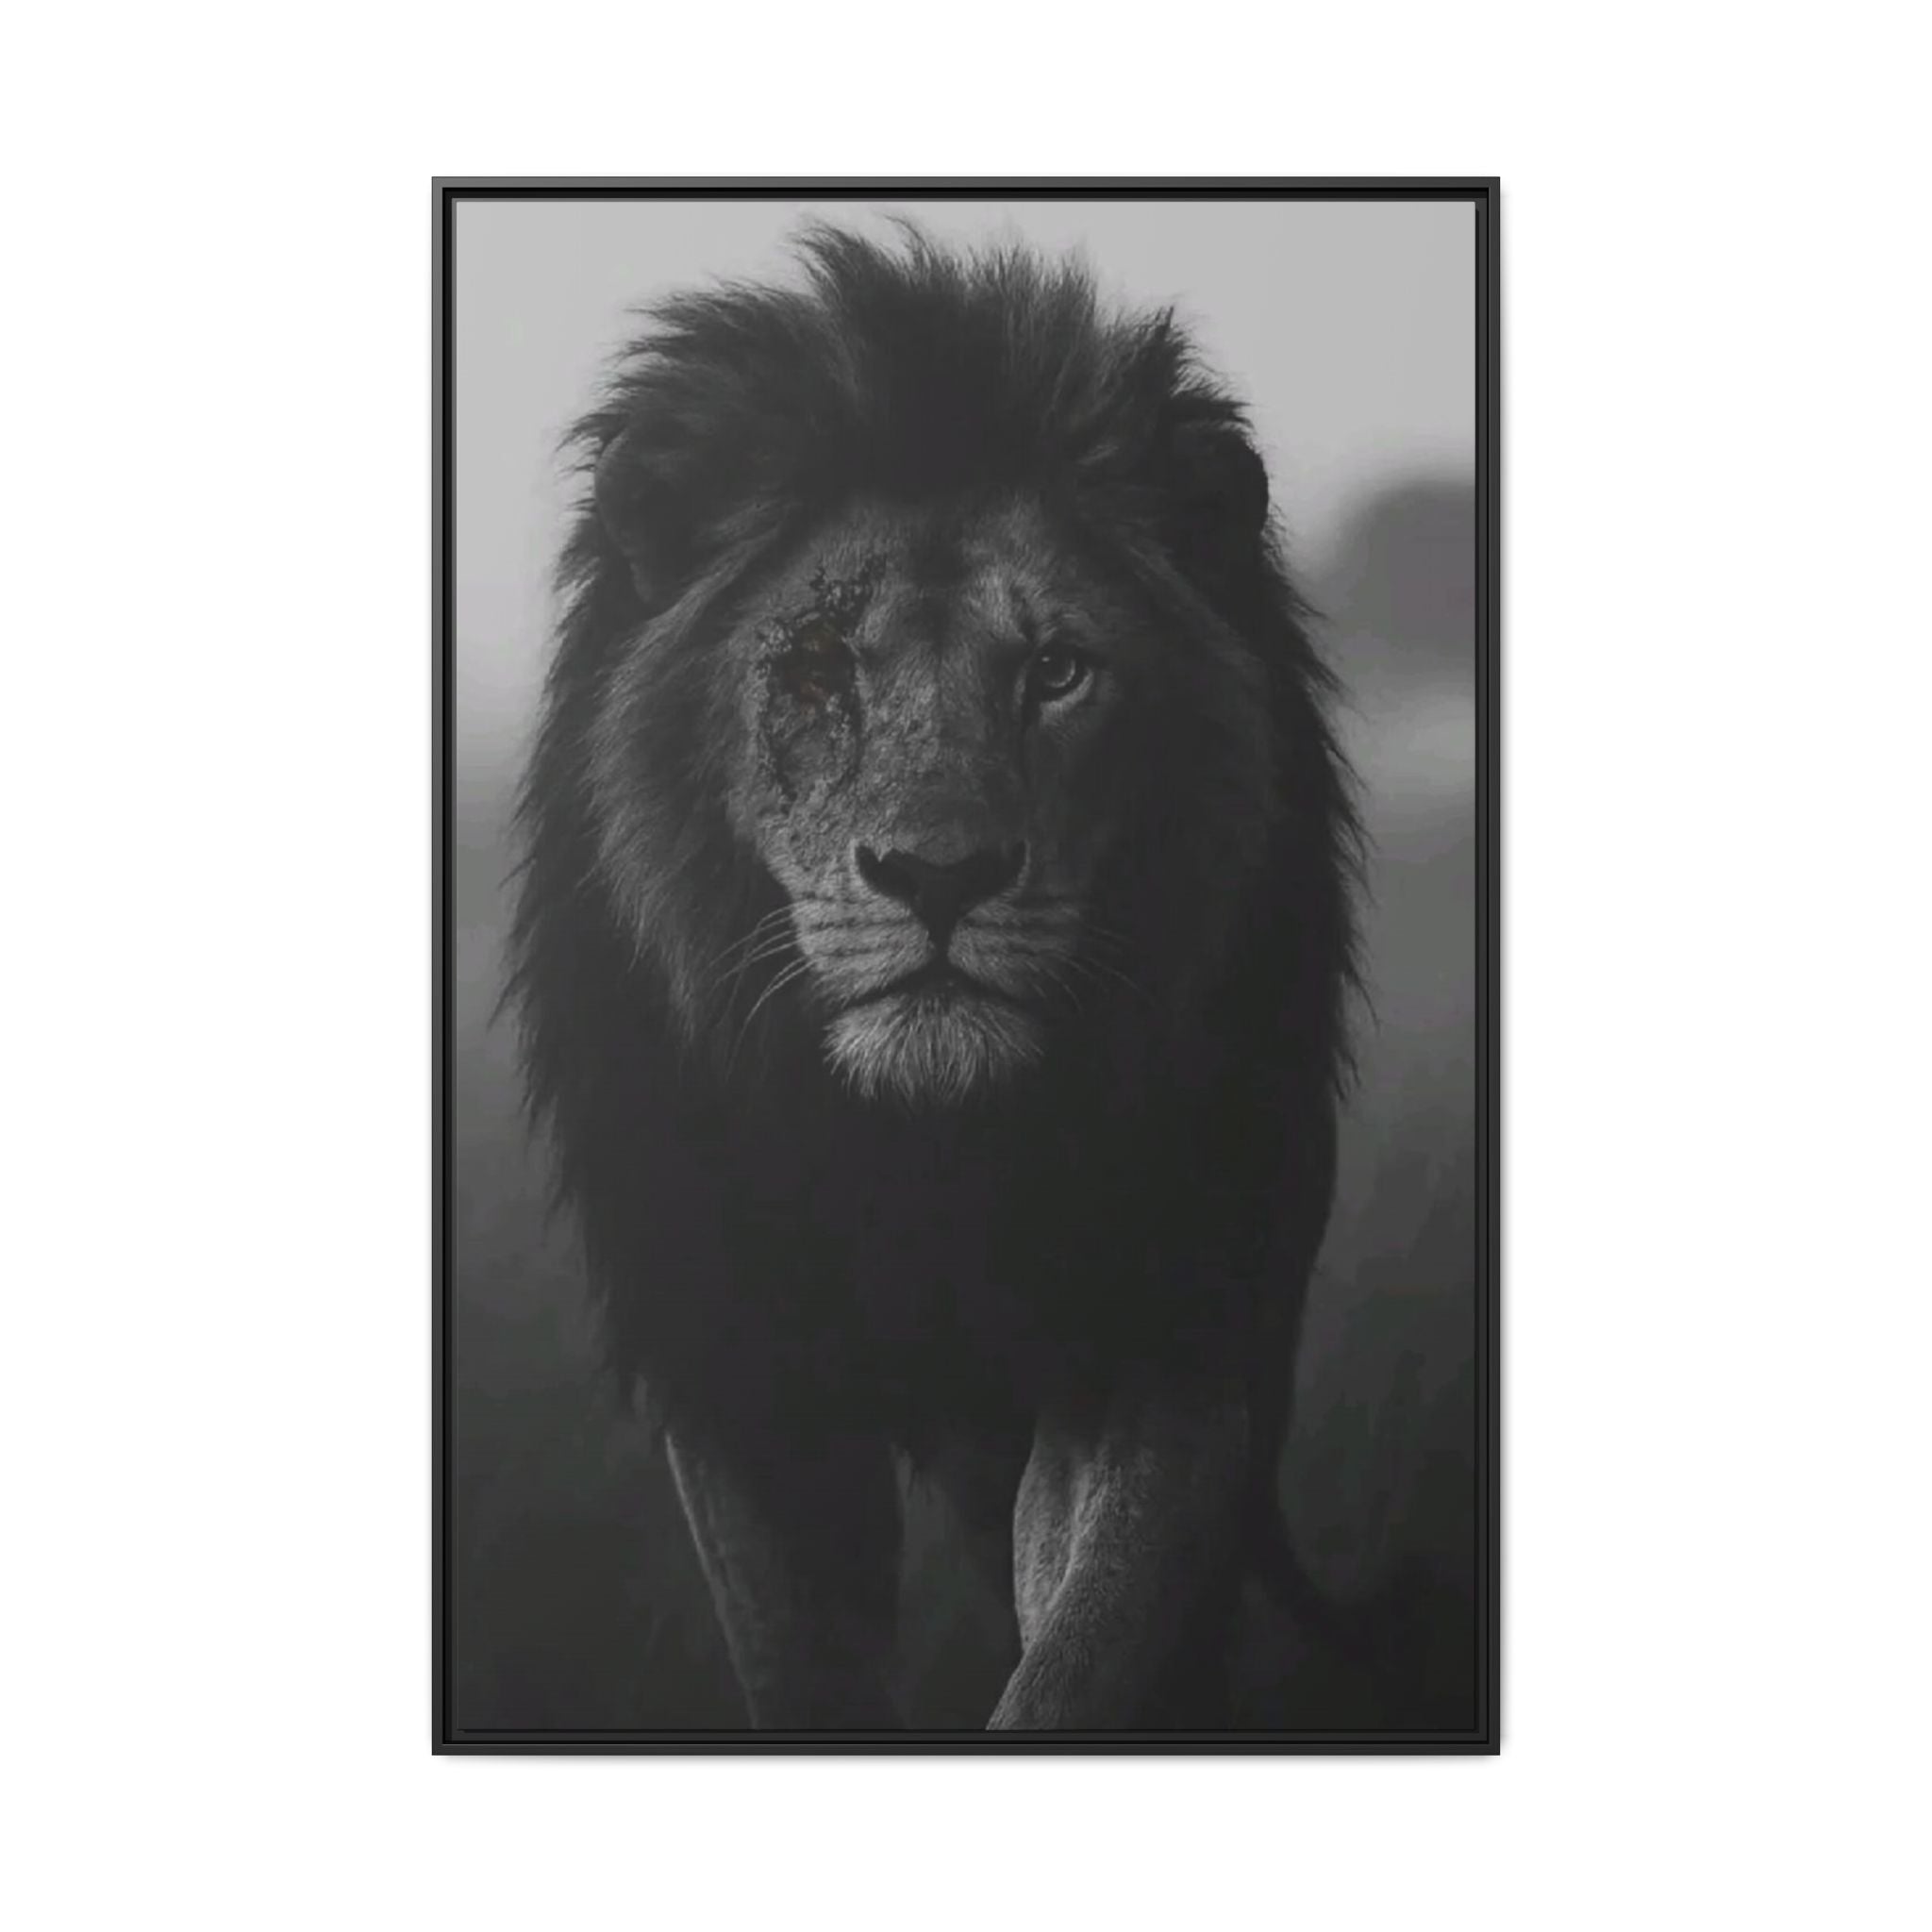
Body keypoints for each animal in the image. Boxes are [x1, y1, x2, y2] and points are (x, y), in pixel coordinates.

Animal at [508, 225, 1358, 1729]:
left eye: (1059, 671)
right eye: (815, 667)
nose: (940, 874)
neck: (924, 1155)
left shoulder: (1158, 1332)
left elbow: (1086, 1648)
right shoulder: (740, 1369)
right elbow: (803, 1673)